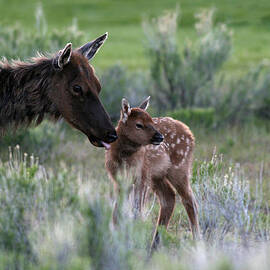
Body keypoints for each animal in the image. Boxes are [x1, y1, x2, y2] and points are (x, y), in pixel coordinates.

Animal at [104, 97, 199, 251]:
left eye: (152, 121)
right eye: (139, 124)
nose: (159, 137)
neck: (124, 159)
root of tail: (190, 134)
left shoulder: (141, 176)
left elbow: (136, 211)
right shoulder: (118, 180)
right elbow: (117, 213)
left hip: (180, 168)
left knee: (190, 201)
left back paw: (197, 241)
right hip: (157, 175)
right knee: (169, 198)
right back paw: (154, 245)